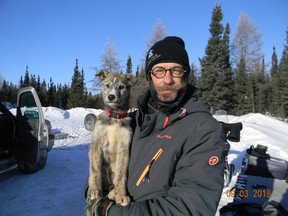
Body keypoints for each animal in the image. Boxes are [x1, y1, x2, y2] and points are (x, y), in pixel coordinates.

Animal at [87, 70, 134, 206]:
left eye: (121, 87)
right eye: (107, 85)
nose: (111, 97)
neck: (115, 117)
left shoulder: (124, 146)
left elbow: (121, 175)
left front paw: (121, 195)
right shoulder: (96, 144)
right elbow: (95, 170)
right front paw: (94, 190)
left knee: (112, 185)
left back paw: (114, 193)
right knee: (106, 184)